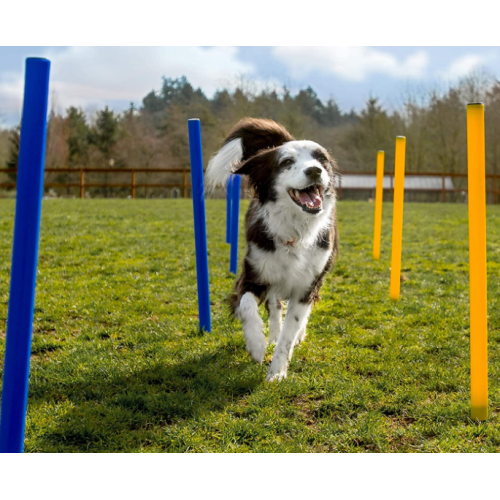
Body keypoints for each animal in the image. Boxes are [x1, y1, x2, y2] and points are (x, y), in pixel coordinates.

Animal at [205, 119, 338, 380]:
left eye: (322, 159)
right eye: (286, 162)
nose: (314, 170)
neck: (295, 230)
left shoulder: (307, 284)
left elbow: (290, 332)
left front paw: (277, 373)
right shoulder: (254, 273)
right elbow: (247, 305)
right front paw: (257, 345)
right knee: (275, 305)